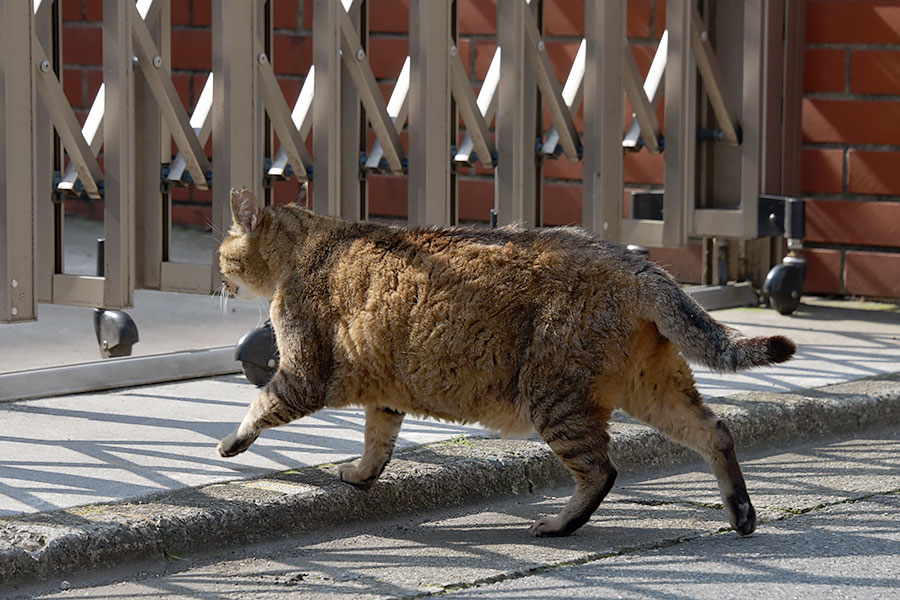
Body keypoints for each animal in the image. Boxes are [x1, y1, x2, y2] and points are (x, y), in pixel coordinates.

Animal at [218, 185, 796, 536]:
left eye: (222, 253)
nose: (218, 280)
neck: (311, 242)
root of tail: (632, 261)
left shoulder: (304, 375)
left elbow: (260, 404)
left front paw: (231, 443)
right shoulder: (385, 394)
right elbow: (376, 445)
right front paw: (360, 476)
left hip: (556, 398)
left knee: (602, 471)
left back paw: (558, 525)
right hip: (653, 387)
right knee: (715, 431)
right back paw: (741, 512)